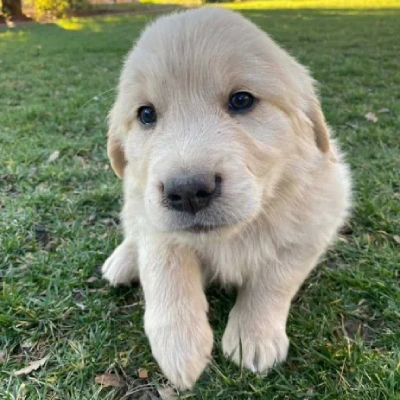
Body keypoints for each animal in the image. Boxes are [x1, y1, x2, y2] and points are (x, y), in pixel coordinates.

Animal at [101, 7, 352, 390]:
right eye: (146, 114)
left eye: (242, 100)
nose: (188, 191)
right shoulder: (150, 212)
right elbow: (164, 263)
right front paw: (179, 345)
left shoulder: (315, 221)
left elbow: (274, 279)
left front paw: (255, 336)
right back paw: (124, 259)